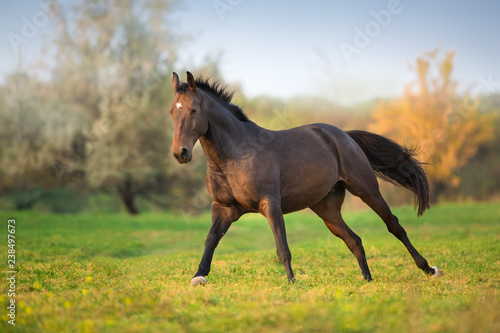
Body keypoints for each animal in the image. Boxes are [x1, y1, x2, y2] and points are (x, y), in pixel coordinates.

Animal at [169, 71, 442, 284]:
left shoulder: (270, 204)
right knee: (353, 239)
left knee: (394, 226)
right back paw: (367, 279)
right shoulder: (224, 209)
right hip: (326, 209)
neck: (236, 155)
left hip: (366, 190)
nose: (180, 153)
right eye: (172, 111)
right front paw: (198, 277)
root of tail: (344, 136)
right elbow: (210, 241)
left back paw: (428, 268)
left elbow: (282, 248)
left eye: (193, 110)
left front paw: (292, 282)